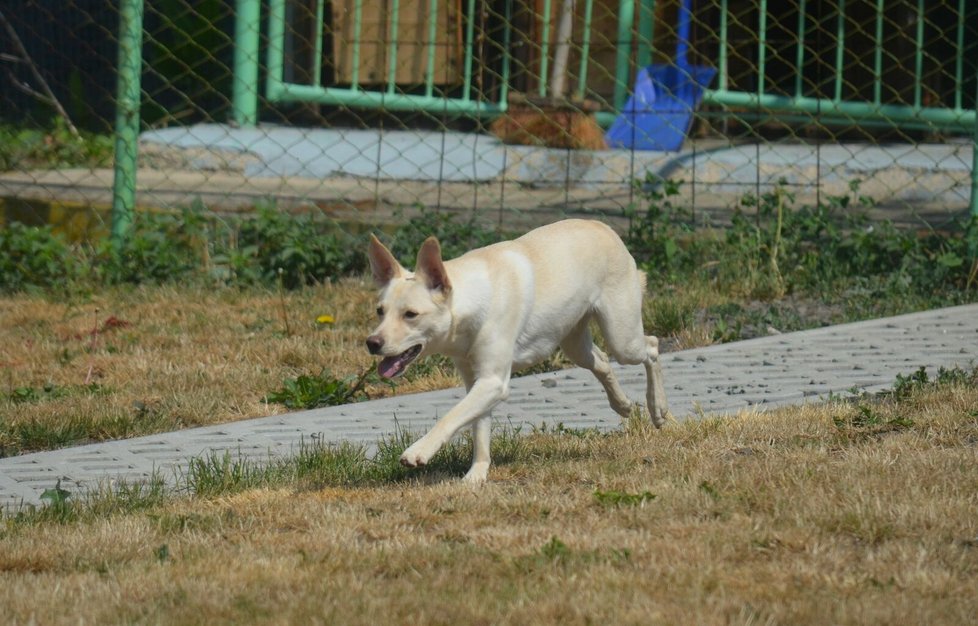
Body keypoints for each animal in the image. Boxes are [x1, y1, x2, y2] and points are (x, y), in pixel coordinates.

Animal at [366, 217, 672, 480]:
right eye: (380, 311)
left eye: (411, 314)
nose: (372, 343)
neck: (471, 301)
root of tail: (602, 225)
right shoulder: (477, 382)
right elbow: (478, 427)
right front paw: (476, 476)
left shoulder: (493, 382)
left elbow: (451, 417)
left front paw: (418, 451)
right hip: (574, 344)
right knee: (602, 361)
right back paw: (622, 404)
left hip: (623, 338)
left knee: (651, 347)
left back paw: (657, 407)